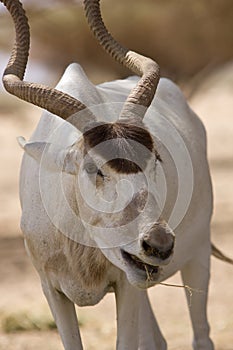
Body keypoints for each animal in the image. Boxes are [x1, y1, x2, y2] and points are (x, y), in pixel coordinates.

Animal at [1, 0, 231, 350]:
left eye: (155, 159)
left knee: (201, 336)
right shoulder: (52, 290)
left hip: (197, 254)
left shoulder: (125, 284)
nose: (159, 244)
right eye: (94, 169)